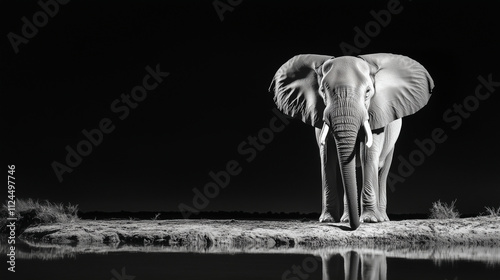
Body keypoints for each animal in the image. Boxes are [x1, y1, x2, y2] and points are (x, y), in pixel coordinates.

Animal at [270, 53, 434, 230]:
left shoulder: (376, 115)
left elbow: (367, 155)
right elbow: (327, 158)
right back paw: (346, 219)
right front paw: (327, 220)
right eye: (322, 91)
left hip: (391, 144)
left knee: (381, 170)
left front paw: (369, 220)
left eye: (368, 91)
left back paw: (381, 218)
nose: (354, 226)